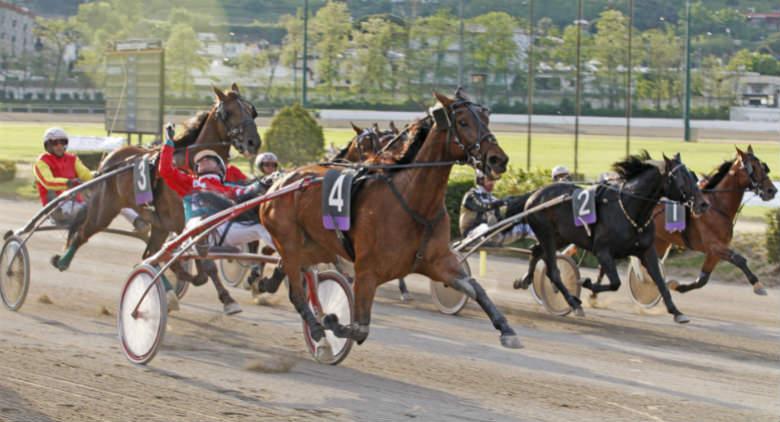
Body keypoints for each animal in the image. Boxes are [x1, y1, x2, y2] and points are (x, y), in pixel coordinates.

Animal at [51, 84, 262, 312]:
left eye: (251, 111)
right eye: (229, 112)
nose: (254, 142)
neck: (192, 166)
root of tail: (109, 160)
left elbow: (198, 263)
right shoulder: (181, 222)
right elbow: (199, 263)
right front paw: (225, 297)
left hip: (158, 224)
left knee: (147, 255)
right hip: (105, 209)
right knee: (83, 234)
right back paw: (62, 261)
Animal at [260, 90, 524, 358]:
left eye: (486, 118)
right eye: (463, 122)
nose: (498, 159)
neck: (414, 203)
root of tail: (280, 182)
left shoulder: (438, 261)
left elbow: (474, 287)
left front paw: (507, 330)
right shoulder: (366, 271)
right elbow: (359, 329)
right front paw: (331, 322)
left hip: (317, 246)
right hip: (290, 244)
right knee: (297, 293)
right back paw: (319, 336)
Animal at [516, 152, 708, 324]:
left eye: (692, 175)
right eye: (681, 178)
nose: (703, 204)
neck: (631, 211)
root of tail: (535, 194)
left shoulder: (646, 250)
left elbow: (660, 282)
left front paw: (677, 312)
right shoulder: (603, 251)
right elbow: (615, 283)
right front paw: (585, 282)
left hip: (560, 236)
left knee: (536, 251)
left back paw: (525, 280)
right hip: (547, 233)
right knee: (553, 271)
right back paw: (573, 302)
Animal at [652, 147, 772, 296]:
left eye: (763, 167)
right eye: (753, 168)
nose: (772, 190)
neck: (716, 206)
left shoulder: (714, 252)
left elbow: (702, 280)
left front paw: (676, 286)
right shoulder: (713, 246)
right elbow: (739, 259)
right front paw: (758, 285)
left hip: (661, 241)